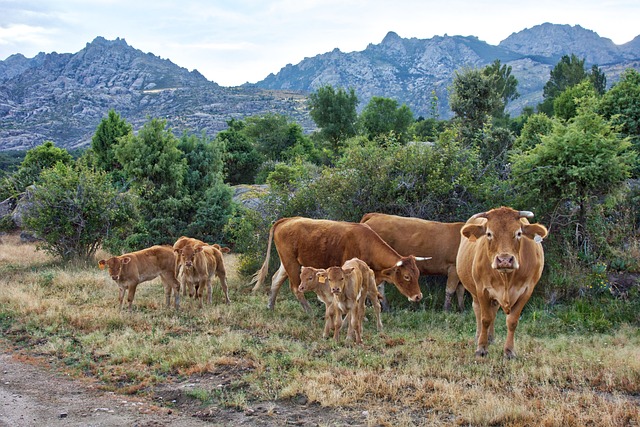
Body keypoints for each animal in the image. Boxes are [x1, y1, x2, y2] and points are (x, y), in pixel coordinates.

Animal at [252, 219, 428, 312]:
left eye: (418, 274)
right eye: (407, 276)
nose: (418, 296)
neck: (366, 244)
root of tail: (286, 220)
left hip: (288, 262)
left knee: (275, 280)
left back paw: (270, 306)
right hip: (291, 263)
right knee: (296, 288)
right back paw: (309, 311)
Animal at [456, 206, 552, 360]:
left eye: (519, 233)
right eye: (489, 233)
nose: (505, 260)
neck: (507, 278)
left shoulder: (526, 291)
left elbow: (512, 321)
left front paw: (509, 351)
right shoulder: (482, 289)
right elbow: (485, 319)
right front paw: (481, 348)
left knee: (493, 311)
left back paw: (491, 338)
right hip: (474, 291)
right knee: (478, 310)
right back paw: (479, 337)